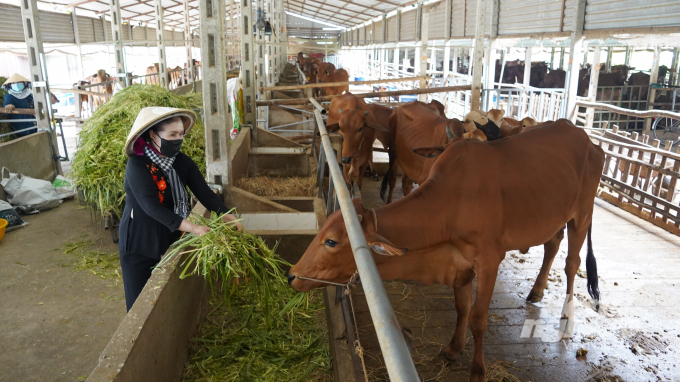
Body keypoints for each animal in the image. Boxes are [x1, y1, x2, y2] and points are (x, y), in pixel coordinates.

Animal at [290, 118, 604, 380]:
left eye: (331, 241)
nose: (292, 274)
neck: (453, 200)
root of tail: (588, 140)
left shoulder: (489, 261)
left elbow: (478, 318)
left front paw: (478, 371)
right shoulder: (460, 261)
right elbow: (461, 306)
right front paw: (453, 348)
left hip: (583, 214)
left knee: (572, 263)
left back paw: (566, 317)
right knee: (552, 244)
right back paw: (537, 291)